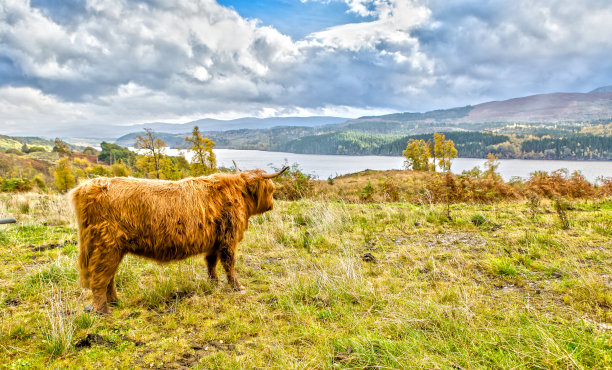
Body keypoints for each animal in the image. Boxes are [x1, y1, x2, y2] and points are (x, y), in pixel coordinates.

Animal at [68, 165, 288, 316]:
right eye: (271, 188)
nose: (272, 204)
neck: (239, 195)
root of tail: (87, 187)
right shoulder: (228, 238)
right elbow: (229, 263)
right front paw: (237, 287)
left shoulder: (214, 241)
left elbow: (211, 262)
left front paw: (214, 283)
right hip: (106, 246)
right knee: (100, 278)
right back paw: (104, 310)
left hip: (110, 249)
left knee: (108, 277)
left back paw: (115, 301)